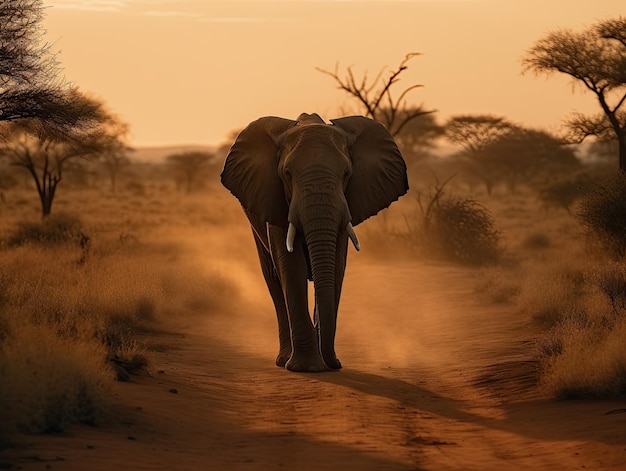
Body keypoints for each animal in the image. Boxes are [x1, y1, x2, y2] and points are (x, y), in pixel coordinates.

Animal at [222, 113, 408, 372]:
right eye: (287, 173)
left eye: (347, 174)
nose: (336, 364)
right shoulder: (276, 201)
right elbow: (290, 266)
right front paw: (307, 368)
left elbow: (336, 266)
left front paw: (324, 362)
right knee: (273, 279)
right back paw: (284, 360)